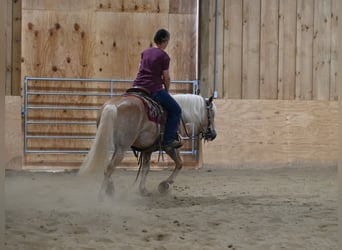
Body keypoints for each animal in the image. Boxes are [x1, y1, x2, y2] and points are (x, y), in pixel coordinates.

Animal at [78, 93, 216, 200]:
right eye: (212, 114)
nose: (213, 134)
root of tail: (113, 105)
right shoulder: (170, 147)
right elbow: (179, 163)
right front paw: (164, 185)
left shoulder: (147, 149)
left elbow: (146, 168)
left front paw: (143, 189)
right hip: (121, 148)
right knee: (110, 167)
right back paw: (102, 195)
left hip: (108, 142)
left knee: (105, 164)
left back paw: (110, 189)